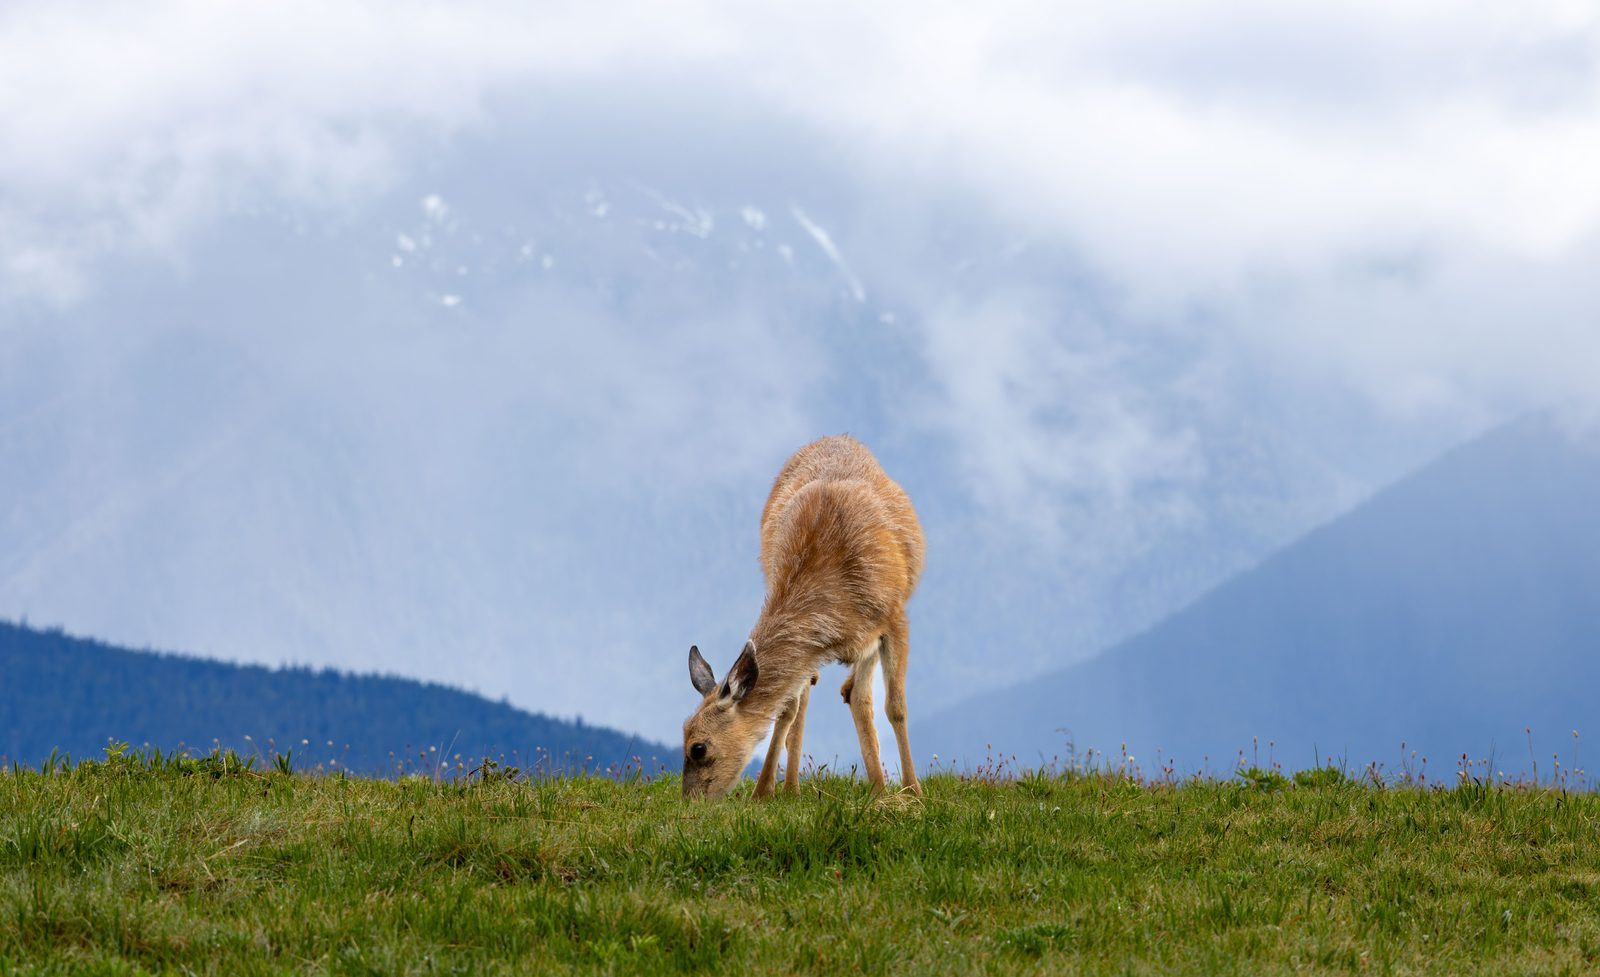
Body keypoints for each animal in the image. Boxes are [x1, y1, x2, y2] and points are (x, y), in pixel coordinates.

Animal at [681, 434, 925, 800]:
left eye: (698, 747)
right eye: (682, 731)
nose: (689, 802)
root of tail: (837, 437)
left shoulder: (894, 616)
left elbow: (896, 707)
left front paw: (913, 791)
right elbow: (789, 708)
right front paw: (763, 791)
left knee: (858, 696)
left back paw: (880, 787)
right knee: (825, 701)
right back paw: (800, 787)